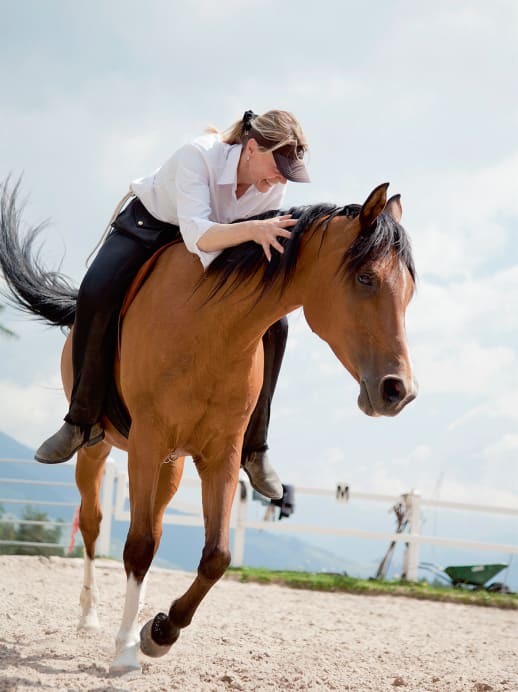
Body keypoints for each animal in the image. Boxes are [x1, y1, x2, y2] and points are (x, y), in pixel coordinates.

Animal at [0, 178, 418, 672]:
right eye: (365, 278)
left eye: (409, 292)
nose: (398, 390)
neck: (211, 328)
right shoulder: (147, 441)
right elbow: (137, 544)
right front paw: (126, 649)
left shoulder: (221, 454)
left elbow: (215, 554)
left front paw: (159, 631)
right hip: (99, 448)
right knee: (94, 521)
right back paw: (90, 615)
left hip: (171, 465)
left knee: (153, 526)